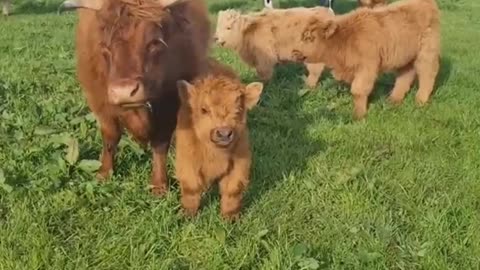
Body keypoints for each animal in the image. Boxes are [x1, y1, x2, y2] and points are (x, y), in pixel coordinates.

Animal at [58, 0, 210, 195]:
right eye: (104, 45)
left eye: (155, 42)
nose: (124, 91)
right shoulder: (100, 102)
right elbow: (110, 137)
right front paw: (104, 173)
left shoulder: (170, 103)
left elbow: (160, 142)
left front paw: (159, 184)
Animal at [174, 65, 262, 219]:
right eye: (204, 109)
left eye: (238, 109)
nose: (224, 133)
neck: (215, 154)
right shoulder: (186, 160)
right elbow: (191, 187)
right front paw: (188, 214)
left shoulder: (240, 161)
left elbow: (233, 189)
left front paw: (230, 216)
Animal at [302, 0, 440, 119]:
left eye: (308, 35)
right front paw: (308, 87)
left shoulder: (366, 66)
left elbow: (358, 90)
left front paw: (358, 115)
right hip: (406, 55)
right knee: (405, 75)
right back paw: (394, 100)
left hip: (427, 51)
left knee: (427, 73)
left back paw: (420, 101)